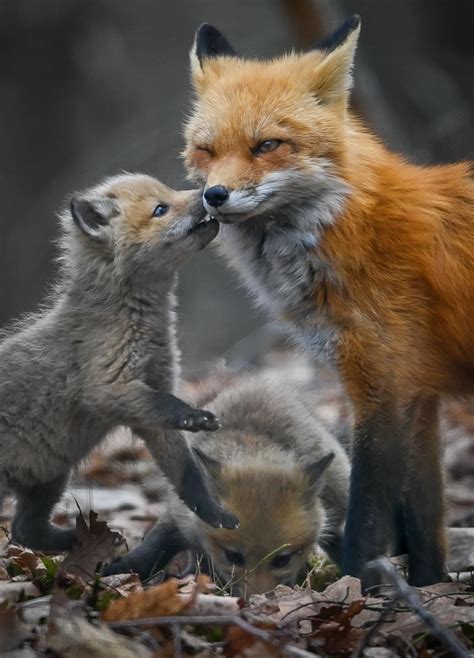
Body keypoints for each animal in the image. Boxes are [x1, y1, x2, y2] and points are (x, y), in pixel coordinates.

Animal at [0, 173, 238, 553]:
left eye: (169, 192)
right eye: (160, 209)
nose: (208, 192)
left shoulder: (152, 409)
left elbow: (187, 476)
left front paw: (213, 513)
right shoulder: (108, 387)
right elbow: (169, 405)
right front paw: (197, 416)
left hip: (50, 475)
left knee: (25, 530)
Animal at [102, 373, 349, 595]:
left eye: (282, 560)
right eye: (233, 556)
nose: (256, 600)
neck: (254, 450)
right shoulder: (181, 513)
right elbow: (152, 549)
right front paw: (116, 571)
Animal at [183, 18, 474, 588]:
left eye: (267, 145)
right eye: (207, 150)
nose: (215, 195)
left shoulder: (383, 389)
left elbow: (367, 516)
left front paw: (357, 585)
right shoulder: (420, 394)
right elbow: (427, 519)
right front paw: (426, 588)